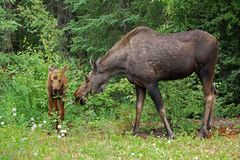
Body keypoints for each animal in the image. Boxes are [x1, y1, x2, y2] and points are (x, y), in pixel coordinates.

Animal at [74, 26, 218, 139]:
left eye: (87, 78)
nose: (76, 95)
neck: (123, 64)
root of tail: (217, 41)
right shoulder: (139, 84)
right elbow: (138, 107)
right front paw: (134, 131)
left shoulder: (151, 82)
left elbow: (161, 108)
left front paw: (170, 133)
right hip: (204, 72)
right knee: (214, 91)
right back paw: (209, 126)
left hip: (205, 69)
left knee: (208, 95)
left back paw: (202, 131)